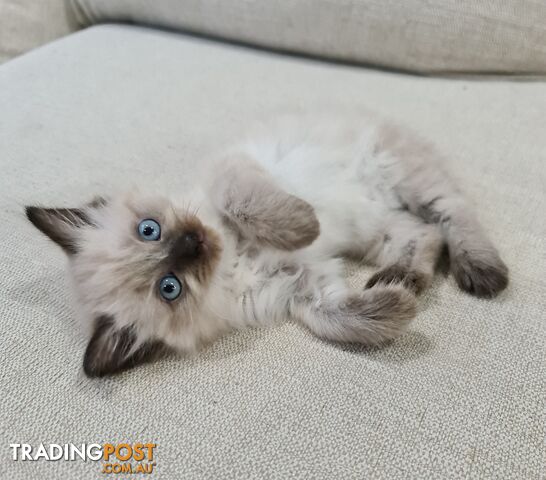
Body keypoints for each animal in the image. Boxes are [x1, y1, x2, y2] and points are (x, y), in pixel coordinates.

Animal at [27, 114, 508, 376]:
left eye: (150, 229)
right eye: (169, 286)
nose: (192, 242)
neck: (234, 257)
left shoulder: (234, 180)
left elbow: (254, 207)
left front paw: (306, 225)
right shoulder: (304, 288)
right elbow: (340, 320)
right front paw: (398, 308)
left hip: (408, 183)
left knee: (452, 216)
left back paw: (483, 273)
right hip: (381, 228)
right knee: (426, 235)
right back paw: (405, 280)